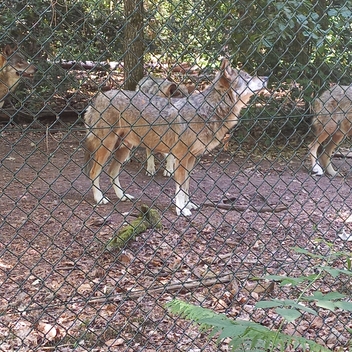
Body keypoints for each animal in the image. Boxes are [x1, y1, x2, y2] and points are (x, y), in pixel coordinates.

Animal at [84, 59, 266, 216]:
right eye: (247, 77)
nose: (266, 78)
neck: (208, 111)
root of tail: (97, 98)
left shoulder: (191, 159)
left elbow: (186, 187)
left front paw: (188, 205)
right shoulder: (181, 158)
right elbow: (179, 188)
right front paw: (182, 210)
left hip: (123, 149)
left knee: (111, 172)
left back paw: (122, 196)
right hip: (107, 148)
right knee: (94, 172)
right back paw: (99, 198)